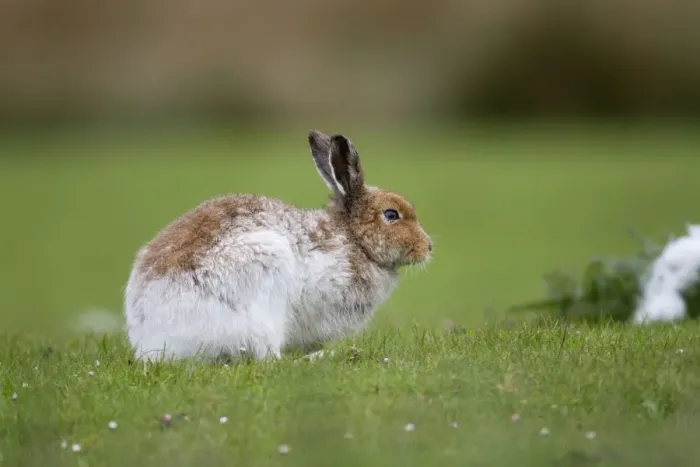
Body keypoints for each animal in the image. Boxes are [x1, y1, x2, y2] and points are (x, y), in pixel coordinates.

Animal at [124, 130, 433, 362]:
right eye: (391, 214)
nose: (428, 247)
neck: (355, 240)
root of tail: (152, 338)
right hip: (265, 276)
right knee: (267, 357)